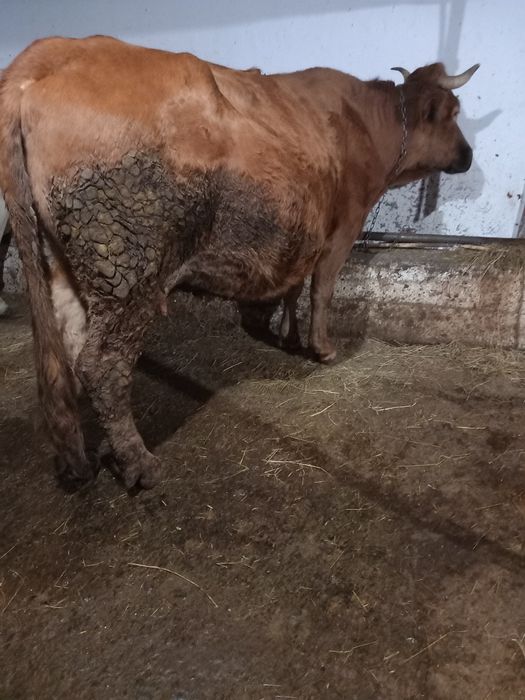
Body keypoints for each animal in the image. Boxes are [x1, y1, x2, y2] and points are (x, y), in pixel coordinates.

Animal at [0, 35, 478, 489]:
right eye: (454, 112)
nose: (469, 156)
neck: (364, 123)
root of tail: (53, 51)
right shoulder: (342, 227)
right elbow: (321, 289)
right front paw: (322, 348)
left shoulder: (301, 230)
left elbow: (292, 287)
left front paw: (287, 335)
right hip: (130, 267)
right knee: (101, 364)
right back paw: (138, 462)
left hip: (64, 261)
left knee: (67, 349)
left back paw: (85, 454)